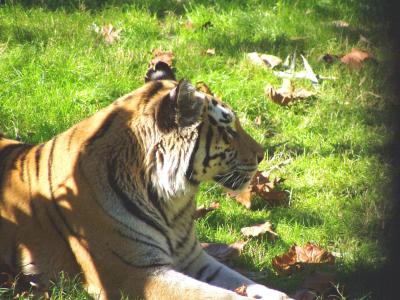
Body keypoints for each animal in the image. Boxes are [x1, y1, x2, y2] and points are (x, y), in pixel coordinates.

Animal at [0, 62, 290, 298]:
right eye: (228, 130)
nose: (261, 155)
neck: (173, 202)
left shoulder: (192, 257)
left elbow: (241, 281)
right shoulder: (135, 273)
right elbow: (215, 295)